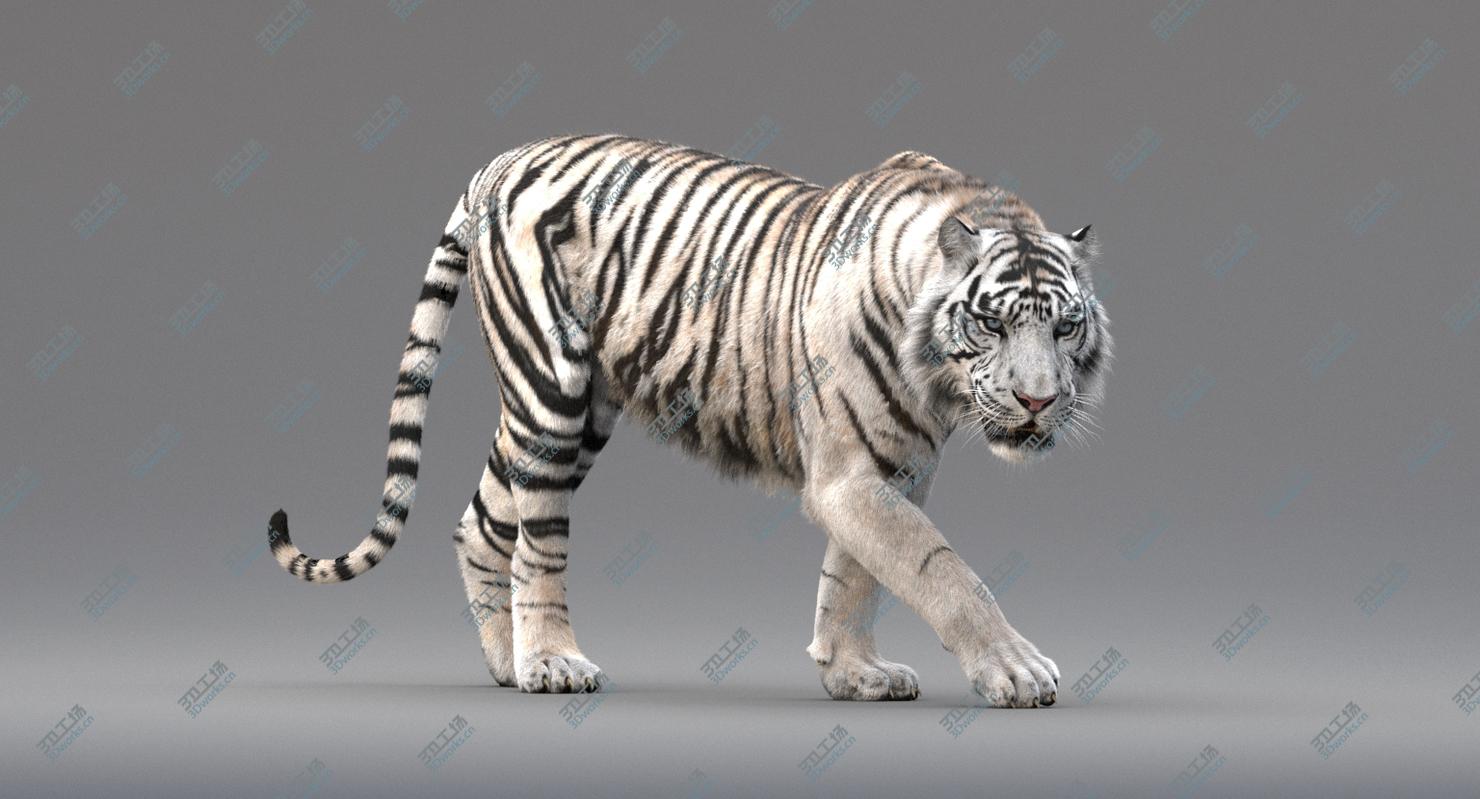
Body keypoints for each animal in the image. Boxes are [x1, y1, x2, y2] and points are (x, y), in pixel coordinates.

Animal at [267, 133, 1111, 707]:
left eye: (1065, 326)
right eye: (993, 324)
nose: (1039, 401)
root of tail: (499, 162)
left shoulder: (892, 468)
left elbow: (857, 574)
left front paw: (852, 672)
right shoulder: (850, 473)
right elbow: (940, 568)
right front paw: (1016, 669)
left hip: (582, 416)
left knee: (481, 518)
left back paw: (509, 661)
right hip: (550, 388)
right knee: (538, 540)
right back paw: (552, 661)